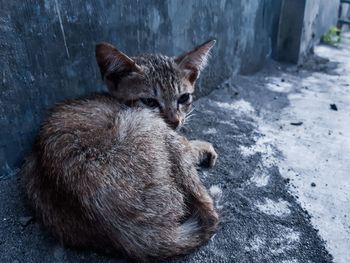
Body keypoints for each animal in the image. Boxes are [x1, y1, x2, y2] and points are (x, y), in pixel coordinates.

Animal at [21, 39, 219, 263]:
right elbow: (186, 144)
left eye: (184, 98)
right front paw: (200, 146)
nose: (175, 122)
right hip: (148, 123)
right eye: (149, 101)